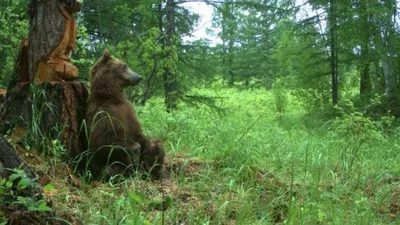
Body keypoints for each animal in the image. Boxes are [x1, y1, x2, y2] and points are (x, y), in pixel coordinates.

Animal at [85, 49, 164, 181]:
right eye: (124, 66)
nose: (139, 77)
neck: (112, 97)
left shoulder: (128, 112)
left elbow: (139, 135)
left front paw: (150, 148)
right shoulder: (104, 114)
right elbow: (102, 142)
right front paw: (135, 150)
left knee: (158, 150)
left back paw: (153, 168)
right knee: (110, 169)